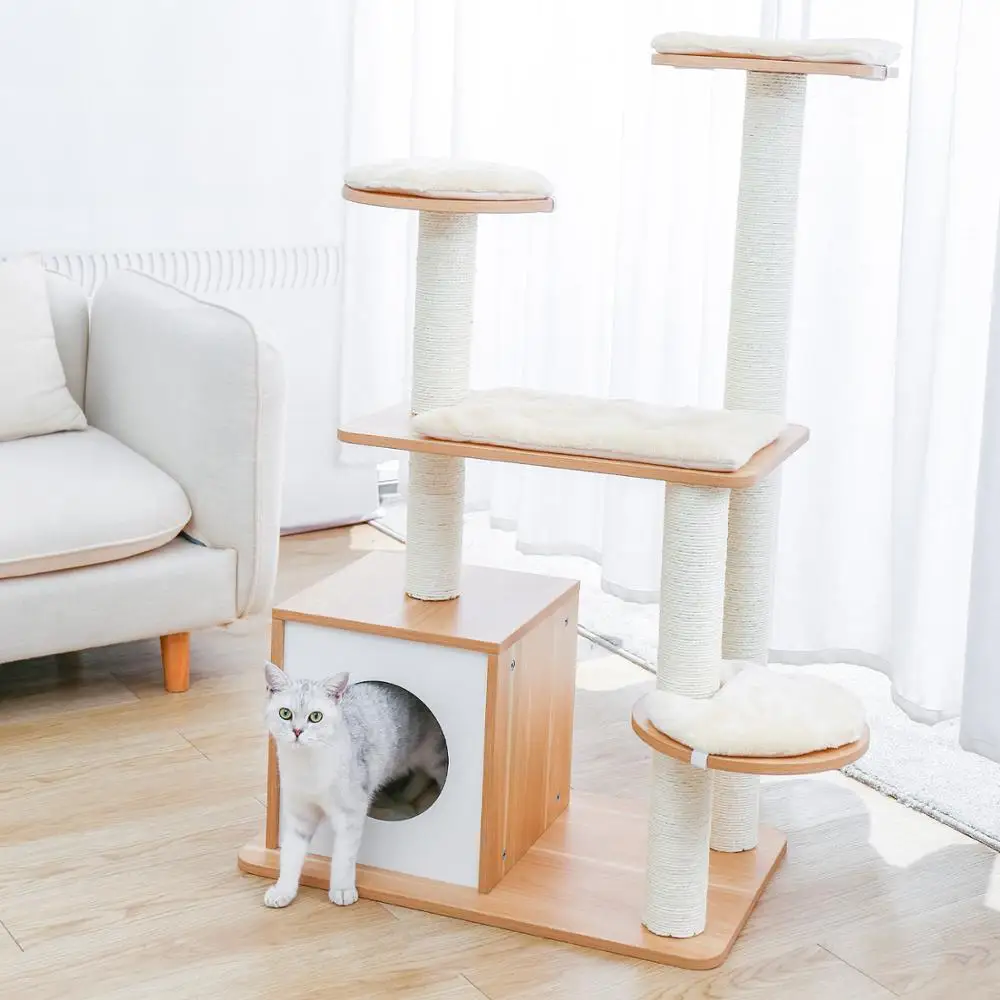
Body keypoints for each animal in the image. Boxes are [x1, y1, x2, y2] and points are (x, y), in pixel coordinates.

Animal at [262, 662, 448, 909]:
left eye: (315, 717)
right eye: (285, 713)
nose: (297, 731)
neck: (309, 767)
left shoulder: (350, 812)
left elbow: (344, 855)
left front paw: (342, 890)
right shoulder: (299, 813)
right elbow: (290, 854)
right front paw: (283, 891)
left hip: (437, 758)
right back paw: (405, 799)